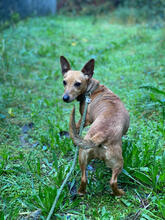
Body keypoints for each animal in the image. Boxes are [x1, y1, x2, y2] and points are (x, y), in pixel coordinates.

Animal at [60, 55, 130, 197]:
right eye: (64, 82)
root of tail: (99, 137)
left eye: (77, 84)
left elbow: (76, 127)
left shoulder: (85, 119)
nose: (65, 98)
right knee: (112, 182)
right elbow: (77, 126)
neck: (91, 90)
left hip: (82, 158)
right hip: (119, 163)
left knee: (84, 179)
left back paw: (81, 192)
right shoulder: (86, 119)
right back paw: (119, 193)